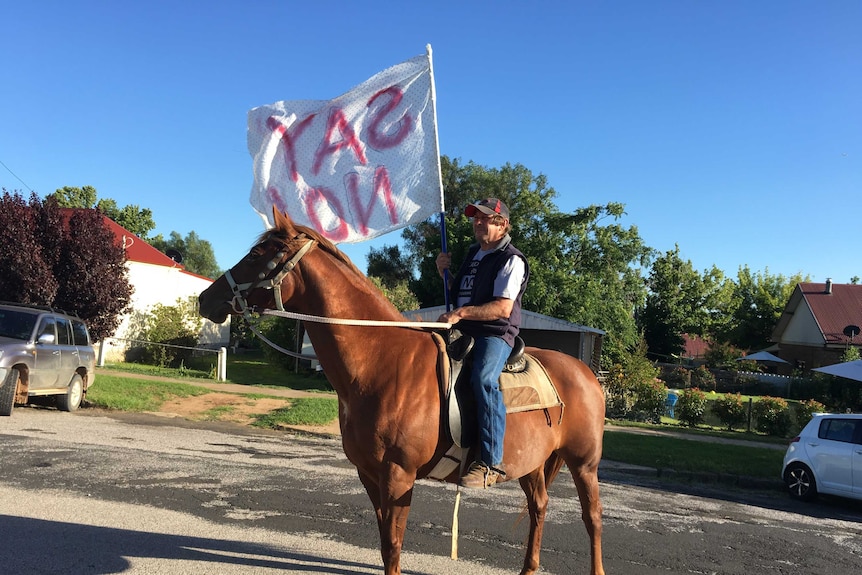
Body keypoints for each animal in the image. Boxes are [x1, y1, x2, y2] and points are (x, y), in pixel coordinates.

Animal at [201, 209, 608, 575]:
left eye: (258, 254)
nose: (205, 299)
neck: (382, 361)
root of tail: (586, 373)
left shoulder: (399, 474)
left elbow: (394, 546)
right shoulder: (370, 474)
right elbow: (385, 543)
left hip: (584, 462)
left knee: (592, 517)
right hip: (533, 463)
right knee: (539, 507)